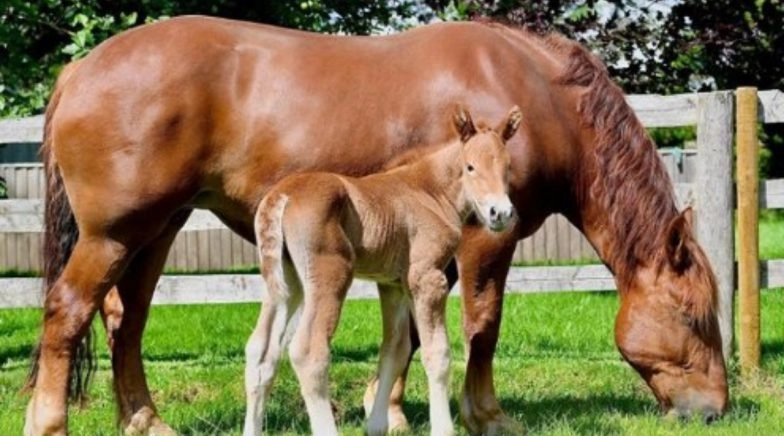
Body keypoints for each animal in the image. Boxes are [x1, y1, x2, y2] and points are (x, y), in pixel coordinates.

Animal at [245, 106, 521, 435]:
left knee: (261, 351)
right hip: (330, 274)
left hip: (286, 282)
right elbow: (437, 354)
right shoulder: (427, 278)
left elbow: (395, 349)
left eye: (508, 167)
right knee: (309, 351)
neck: (431, 191)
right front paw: (442, 428)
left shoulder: (393, 284)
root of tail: (282, 196)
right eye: (470, 167)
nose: (500, 213)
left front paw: (377, 425)